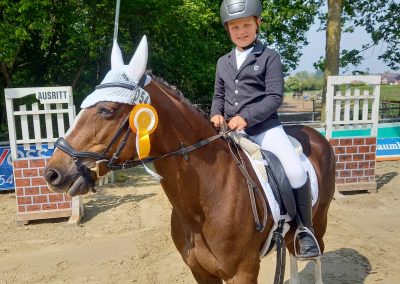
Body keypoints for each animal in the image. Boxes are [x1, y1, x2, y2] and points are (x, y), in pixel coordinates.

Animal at [45, 36, 336, 282]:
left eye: (107, 110)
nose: (52, 173)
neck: (203, 203)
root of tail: (313, 134)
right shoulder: (200, 272)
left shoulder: (243, 272)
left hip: (319, 223)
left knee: (316, 255)